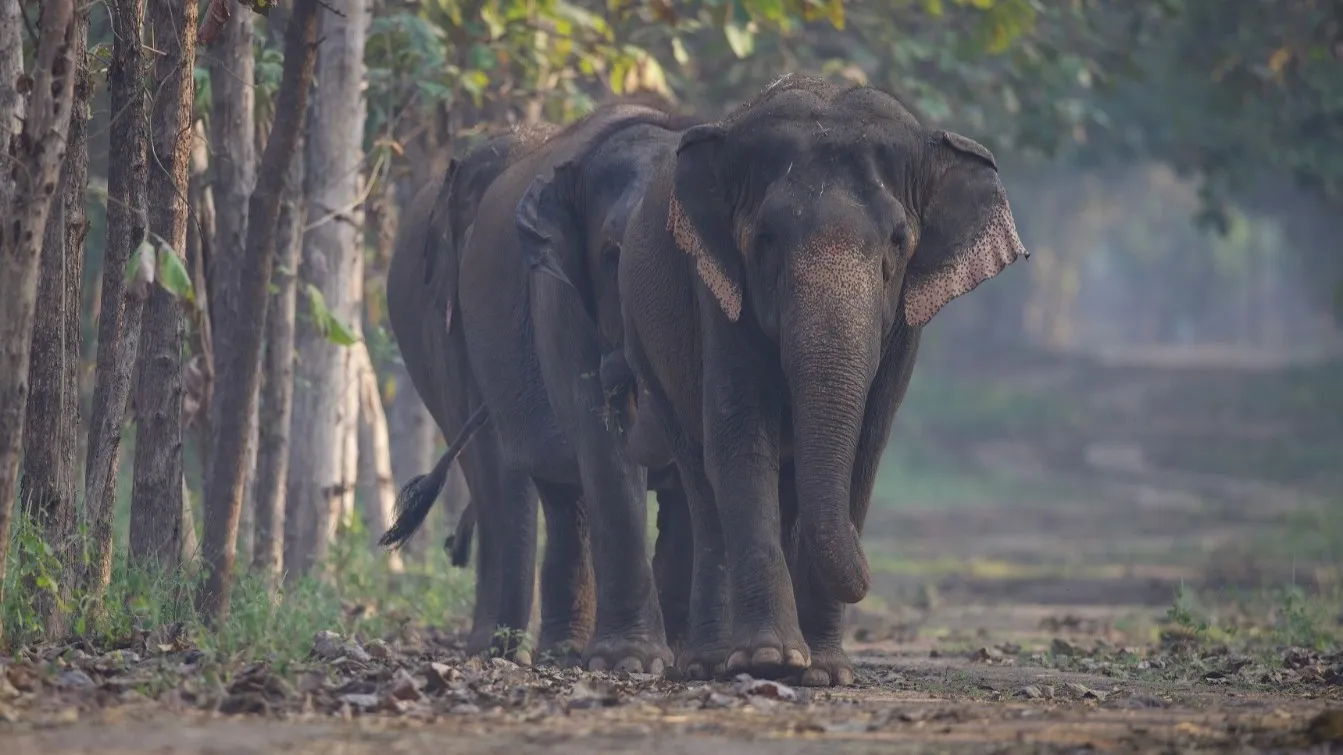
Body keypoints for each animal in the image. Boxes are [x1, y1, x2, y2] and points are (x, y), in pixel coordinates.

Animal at [450, 99, 701, 672]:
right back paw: (564, 655)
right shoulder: (554, 293)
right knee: (564, 496)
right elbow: (604, 444)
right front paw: (630, 663)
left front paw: (677, 660)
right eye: (611, 255)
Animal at [617, 74, 1029, 686]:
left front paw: (827, 673)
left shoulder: (904, 325)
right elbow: (741, 436)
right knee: (700, 477)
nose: (871, 574)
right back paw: (710, 663)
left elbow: (866, 446)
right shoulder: (717, 290)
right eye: (764, 239)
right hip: (644, 341)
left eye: (898, 241)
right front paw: (772, 659)